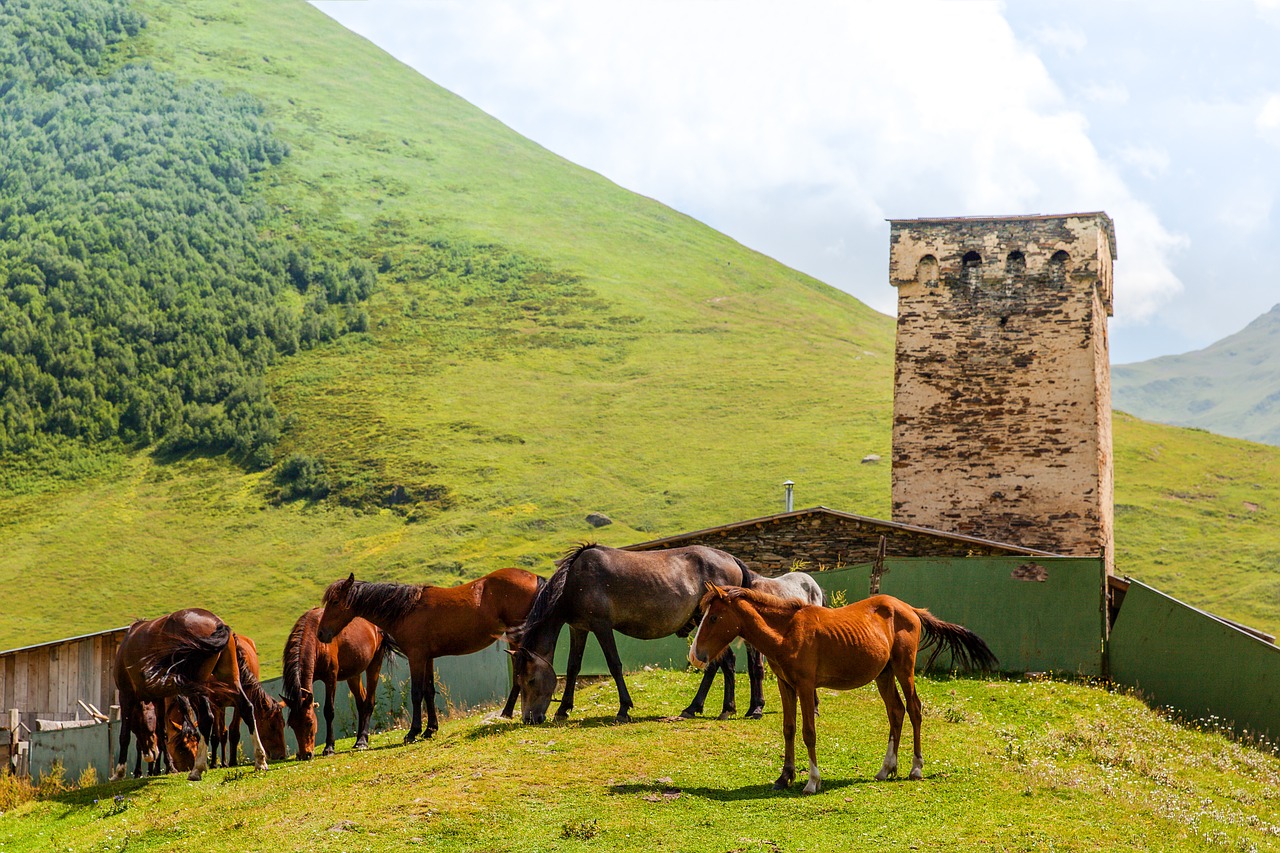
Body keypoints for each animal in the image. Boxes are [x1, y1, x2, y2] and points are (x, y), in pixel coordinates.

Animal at [110, 607, 280, 778]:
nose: (150, 755)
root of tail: (217, 622)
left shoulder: (125, 695)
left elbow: (125, 735)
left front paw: (119, 772)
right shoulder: (159, 698)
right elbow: (161, 732)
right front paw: (167, 767)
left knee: (207, 718)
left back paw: (198, 768)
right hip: (229, 679)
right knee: (246, 707)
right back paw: (260, 760)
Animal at [285, 604, 389, 758]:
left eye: (309, 722)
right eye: (292, 724)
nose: (305, 754)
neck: (316, 641)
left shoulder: (331, 678)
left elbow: (329, 711)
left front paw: (329, 747)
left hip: (375, 664)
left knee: (369, 702)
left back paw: (363, 740)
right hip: (353, 675)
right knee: (361, 702)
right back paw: (358, 739)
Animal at [320, 568, 545, 742]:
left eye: (335, 602)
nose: (321, 634)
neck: (406, 610)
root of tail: (533, 576)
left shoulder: (416, 657)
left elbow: (416, 693)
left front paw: (413, 732)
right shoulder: (427, 658)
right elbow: (429, 691)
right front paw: (430, 729)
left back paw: (510, 712)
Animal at [691, 584, 998, 788]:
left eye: (714, 617)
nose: (696, 655)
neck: (787, 631)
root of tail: (909, 609)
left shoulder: (806, 686)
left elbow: (808, 732)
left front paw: (812, 781)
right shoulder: (785, 685)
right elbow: (789, 729)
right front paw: (784, 776)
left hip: (903, 669)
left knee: (914, 709)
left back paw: (916, 769)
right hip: (884, 675)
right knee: (896, 712)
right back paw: (886, 769)